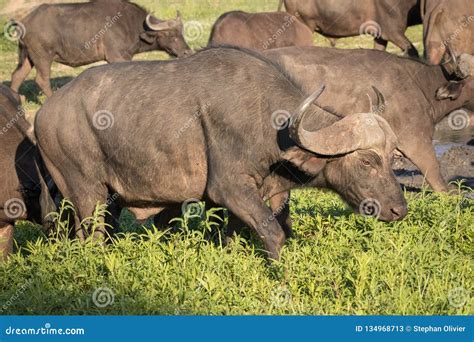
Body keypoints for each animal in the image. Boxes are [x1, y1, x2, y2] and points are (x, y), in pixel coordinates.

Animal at [9, 0, 192, 97]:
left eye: (182, 33)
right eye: (172, 36)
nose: (187, 52)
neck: (131, 25)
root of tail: (25, 21)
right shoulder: (117, 57)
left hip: (29, 58)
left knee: (17, 75)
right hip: (43, 57)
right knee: (41, 80)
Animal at [36, 45, 408, 260]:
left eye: (393, 158)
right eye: (367, 160)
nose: (399, 210)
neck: (267, 120)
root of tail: (45, 113)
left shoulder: (259, 192)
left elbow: (241, 234)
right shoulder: (228, 188)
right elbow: (273, 233)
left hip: (109, 198)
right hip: (86, 193)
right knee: (91, 236)